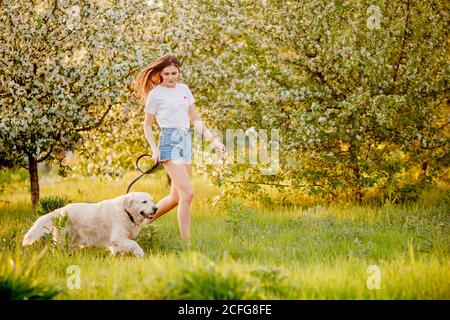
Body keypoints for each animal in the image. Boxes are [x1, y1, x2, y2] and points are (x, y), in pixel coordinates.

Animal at [22, 192, 158, 258]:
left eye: (152, 201)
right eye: (144, 201)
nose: (156, 208)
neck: (126, 212)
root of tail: (60, 210)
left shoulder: (118, 240)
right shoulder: (117, 237)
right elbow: (135, 244)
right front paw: (141, 254)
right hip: (63, 239)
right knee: (57, 250)